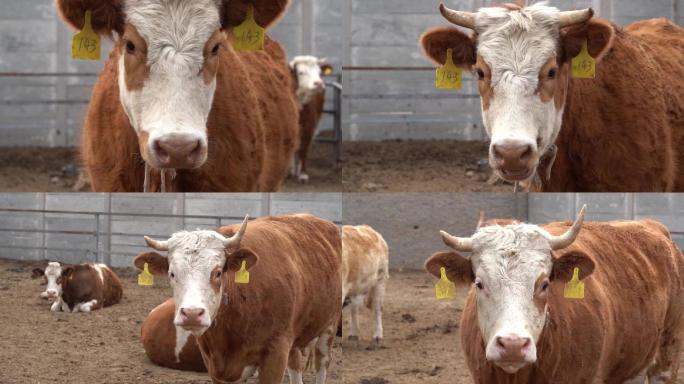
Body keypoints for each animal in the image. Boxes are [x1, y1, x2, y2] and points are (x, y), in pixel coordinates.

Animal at [132, 214, 340, 382]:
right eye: (172, 273)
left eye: (217, 272)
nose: (191, 314)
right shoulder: (213, 364)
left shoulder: (276, 353)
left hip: (328, 329)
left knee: (321, 365)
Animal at [288, 55, 332, 184]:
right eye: (301, 72)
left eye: (319, 72)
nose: (319, 83)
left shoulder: (309, 127)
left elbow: (304, 150)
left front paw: (303, 174)